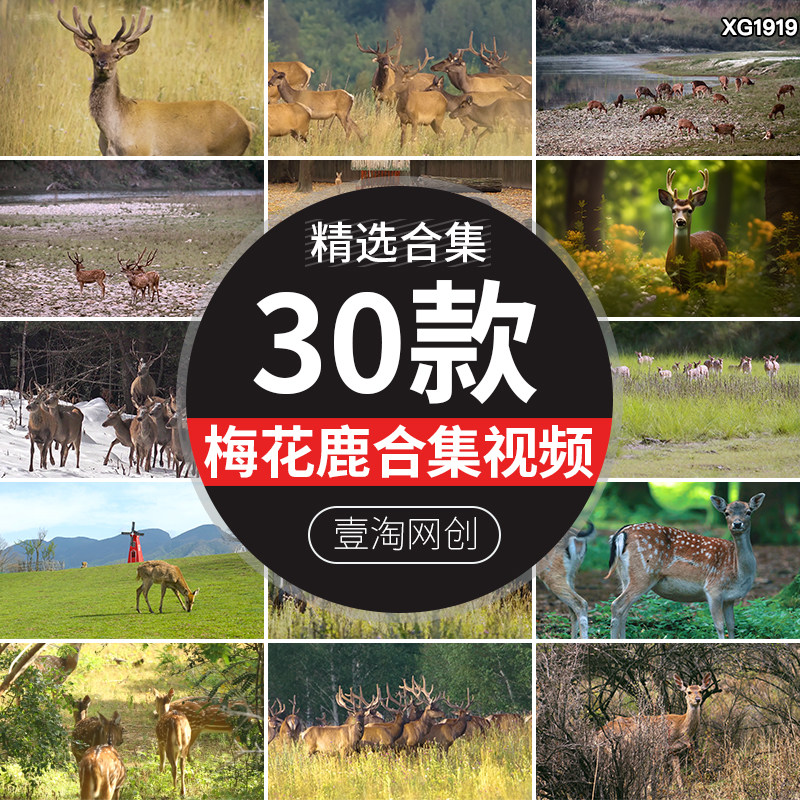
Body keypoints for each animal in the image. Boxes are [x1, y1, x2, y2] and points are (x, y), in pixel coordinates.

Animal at [58, 6, 253, 156]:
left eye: (116, 55)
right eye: (93, 54)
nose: (102, 64)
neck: (112, 134)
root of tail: (248, 125)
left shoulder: (141, 150)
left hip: (228, 149)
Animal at [606, 493, 766, 639]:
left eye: (749, 511)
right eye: (726, 512)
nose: (737, 524)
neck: (738, 572)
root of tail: (621, 533)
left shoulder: (729, 598)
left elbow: (732, 626)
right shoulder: (713, 588)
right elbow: (719, 626)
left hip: (625, 576)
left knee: (624, 610)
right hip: (643, 574)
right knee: (617, 605)